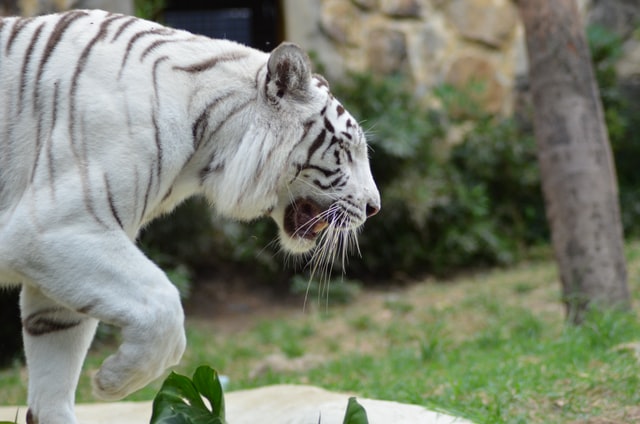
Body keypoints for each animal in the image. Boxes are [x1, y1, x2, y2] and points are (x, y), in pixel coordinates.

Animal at [0, 9, 380, 424]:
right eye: (346, 149)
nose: (374, 207)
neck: (205, 144)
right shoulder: (55, 227)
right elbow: (164, 306)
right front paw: (112, 381)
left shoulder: (58, 269)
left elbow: (54, 373)